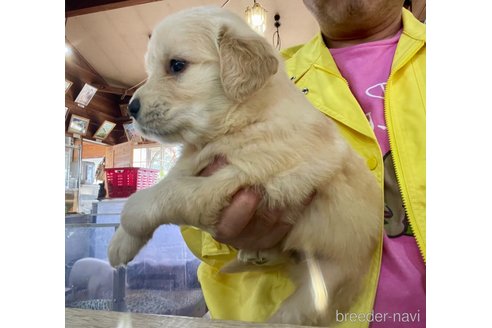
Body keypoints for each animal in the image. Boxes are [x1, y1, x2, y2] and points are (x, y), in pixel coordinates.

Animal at [109, 6, 382, 326]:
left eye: (176, 65)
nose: (131, 109)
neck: (238, 122)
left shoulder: (237, 176)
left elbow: (164, 194)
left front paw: (129, 217)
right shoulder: (193, 161)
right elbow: (166, 182)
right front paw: (120, 244)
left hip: (326, 281)